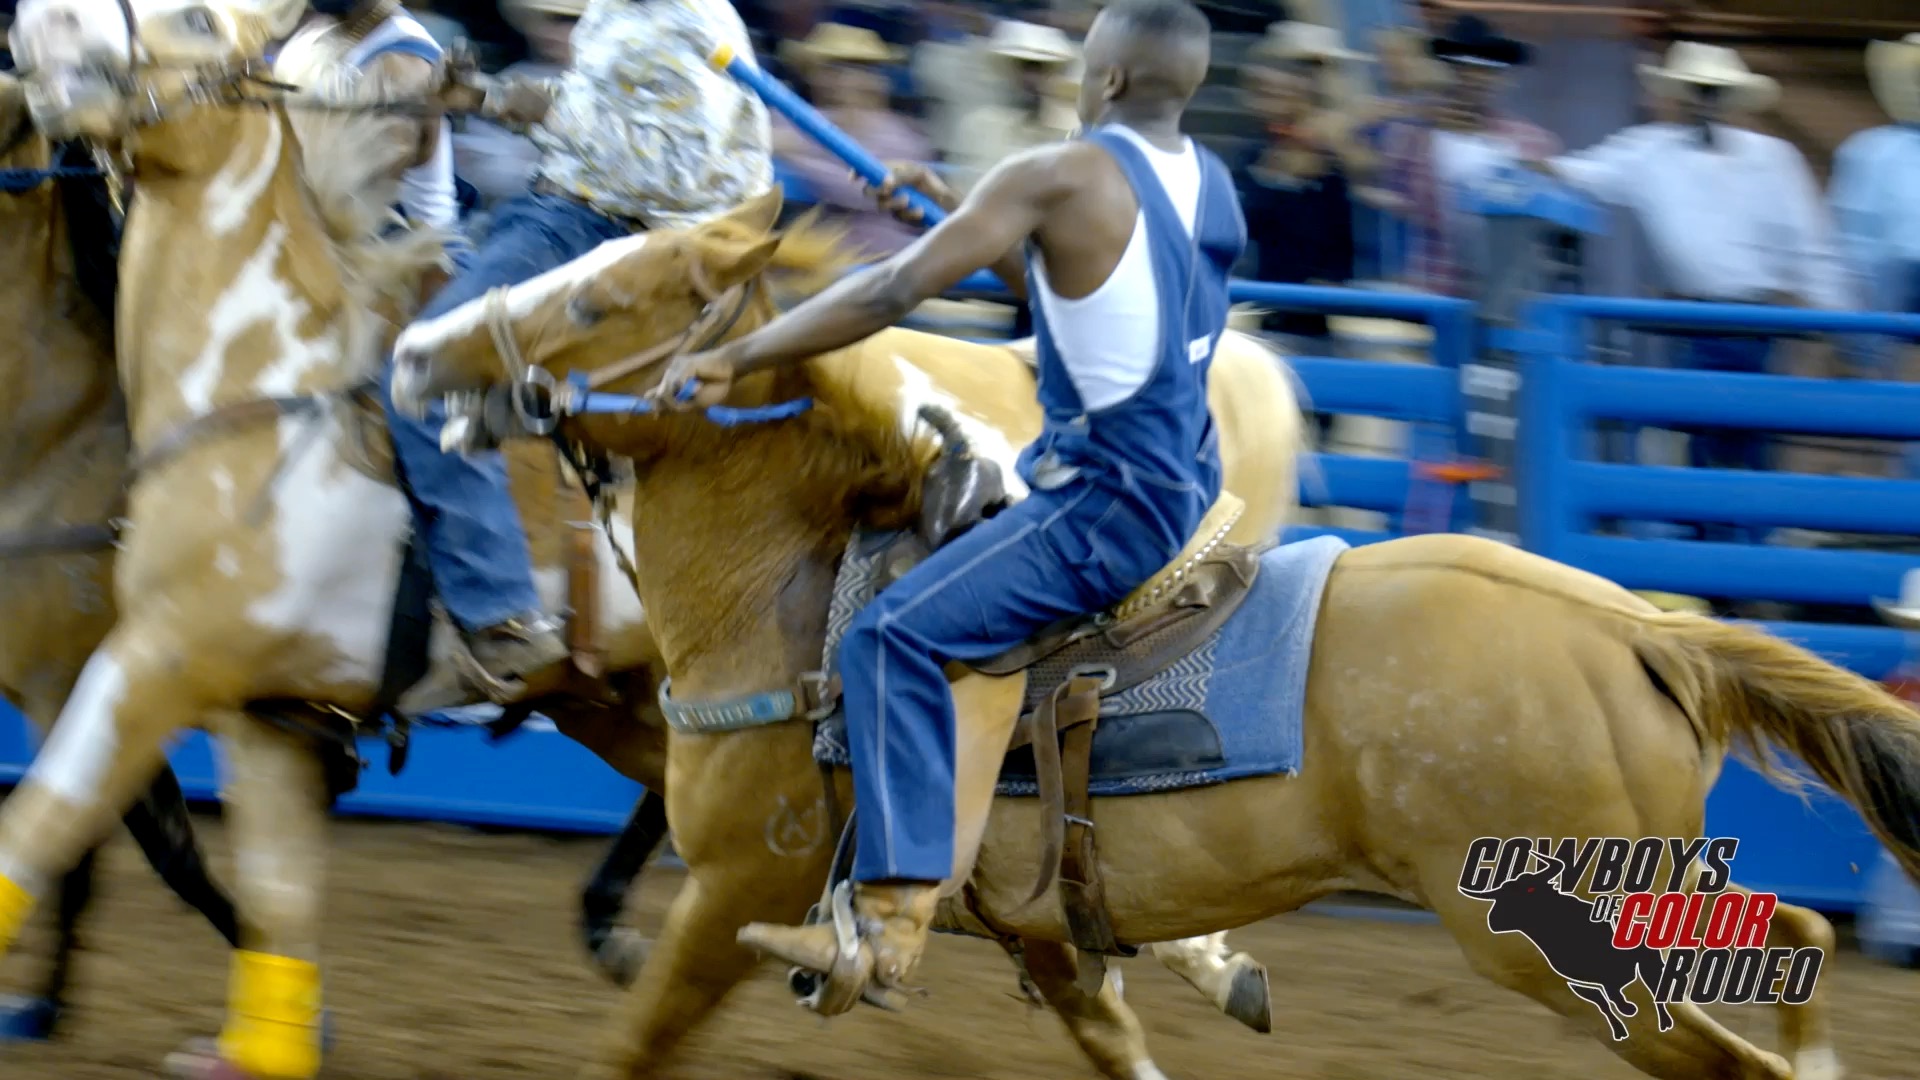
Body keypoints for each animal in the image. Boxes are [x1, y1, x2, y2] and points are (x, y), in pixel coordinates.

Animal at [0, 6, 1305, 1068]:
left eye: (185, 18)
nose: (38, 27)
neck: (256, 383)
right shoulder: (261, 712)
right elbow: (243, 895)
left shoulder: (151, 660)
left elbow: (55, 838)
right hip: (618, 694)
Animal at [393, 195, 1904, 1076]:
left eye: (597, 300)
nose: (416, 352)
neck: (799, 585)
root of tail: (1645, 631)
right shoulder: (1051, 936)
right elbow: (1119, 1040)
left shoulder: (731, 897)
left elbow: (636, 1044)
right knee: (1798, 935)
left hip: (1544, 936)